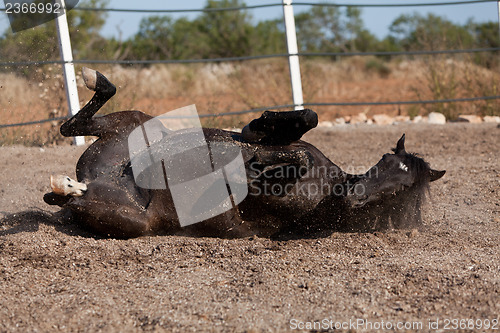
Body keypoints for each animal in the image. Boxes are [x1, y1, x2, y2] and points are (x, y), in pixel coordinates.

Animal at [45, 68, 448, 239]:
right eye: (384, 160)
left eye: (401, 189)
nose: (354, 196)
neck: (328, 188)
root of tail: (94, 179)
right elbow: (298, 124)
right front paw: (264, 129)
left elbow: (272, 177)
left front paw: (261, 170)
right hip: (135, 124)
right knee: (74, 126)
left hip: (128, 220)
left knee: (70, 194)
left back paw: (65, 187)